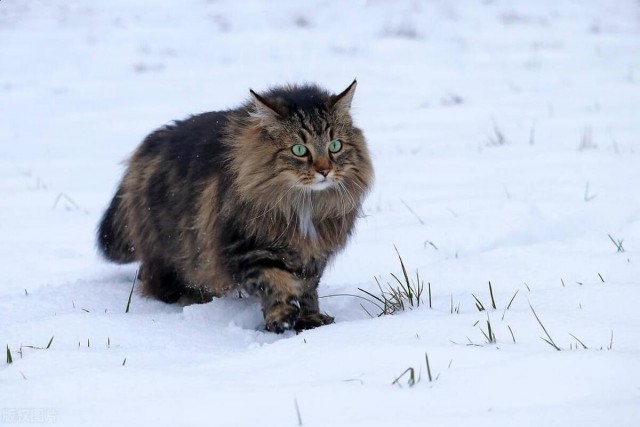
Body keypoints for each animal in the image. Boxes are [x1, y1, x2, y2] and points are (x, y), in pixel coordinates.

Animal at [97, 81, 372, 334]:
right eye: (299, 150)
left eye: (335, 146)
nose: (324, 170)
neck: (304, 205)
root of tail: (144, 150)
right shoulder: (247, 247)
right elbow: (277, 281)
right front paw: (282, 317)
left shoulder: (312, 254)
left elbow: (306, 290)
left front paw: (310, 320)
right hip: (169, 250)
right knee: (156, 279)